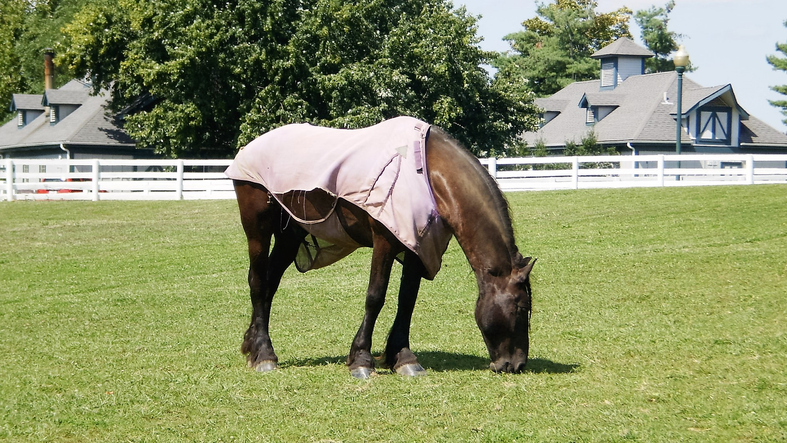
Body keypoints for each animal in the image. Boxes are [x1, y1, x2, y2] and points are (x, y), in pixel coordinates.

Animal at [228, 117, 535, 378]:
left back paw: (253, 345)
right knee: (258, 282)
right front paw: (361, 359)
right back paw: (264, 355)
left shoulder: (417, 247)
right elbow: (375, 296)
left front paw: (403, 357)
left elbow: (407, 300)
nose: (516, 364)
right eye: (521, 308)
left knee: (270, 283)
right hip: (258, 228)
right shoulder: (385, 241)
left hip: (291, 235)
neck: (426, 174)